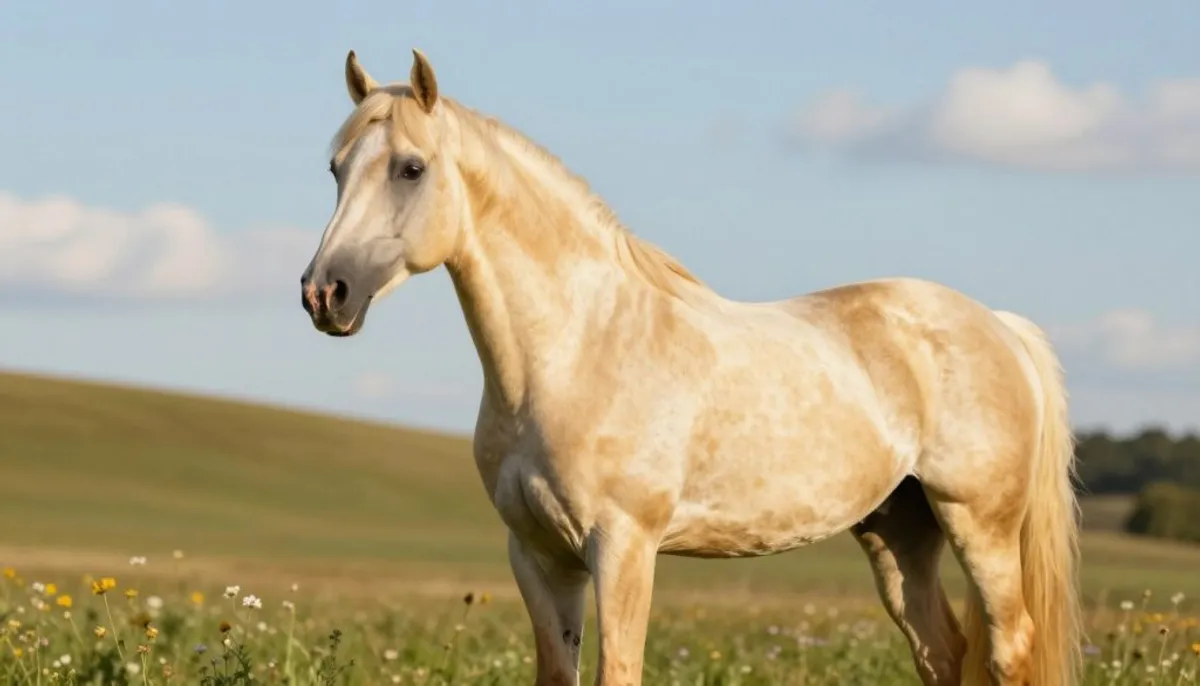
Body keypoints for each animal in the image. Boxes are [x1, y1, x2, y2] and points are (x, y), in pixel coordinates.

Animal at [298, 48, 1083, 686]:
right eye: (336, 170)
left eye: (411, 168)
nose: (323, 293)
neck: (577, 348)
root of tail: (998, 326)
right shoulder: (537, 556)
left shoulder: (623, 548)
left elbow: (619, 671)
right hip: (899, 535)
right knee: (942, 652)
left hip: (979, 525)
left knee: (1009, 647)